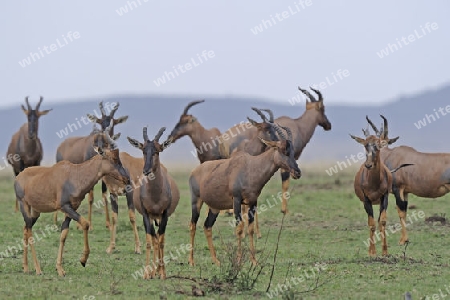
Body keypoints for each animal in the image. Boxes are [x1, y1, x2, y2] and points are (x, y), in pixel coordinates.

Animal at [14, 134, 128, 276]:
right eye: (112, 158)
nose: (127, 179)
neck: (74, 174)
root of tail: (18, 177)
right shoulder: (65, 207)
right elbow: (85, 223)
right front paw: (83, 260)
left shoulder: (72, 208)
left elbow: (64, 234)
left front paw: (60, 269)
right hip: (23, 204)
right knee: (29, 231)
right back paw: (38, 269)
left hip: (35, 211)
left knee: (25, 229)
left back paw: (25, 267)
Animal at [126, 126, 179, 278]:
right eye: (143, 150)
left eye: (157, 151)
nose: (146, 170)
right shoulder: (146, 214)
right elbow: (150, 241)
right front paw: (145, 273)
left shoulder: (165, 214)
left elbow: (161, 241)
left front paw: (163, 273)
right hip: (152, 217)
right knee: (154, 238)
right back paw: (152, 271)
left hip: (159, 217)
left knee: (159, 239)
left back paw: (158, 270)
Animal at [188, 125, 300, 266]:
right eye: (282, 149)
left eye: (293, 151)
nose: (297, 172)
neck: (250, 167)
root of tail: (194, 171)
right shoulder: (236, 201)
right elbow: (240, 228)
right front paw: (239, 259)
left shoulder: (252, 202)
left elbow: (250, 228)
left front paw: (254, 261)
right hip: (196, 201)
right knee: (192, 225)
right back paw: (191, 261)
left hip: (215, 207)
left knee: (207, 226)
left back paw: (216, 260)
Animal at [352, 116, 412, 256]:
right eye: (365, 145)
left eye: (378, 145)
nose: (368, 165)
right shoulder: (366, 200)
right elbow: (371, 224)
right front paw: (372, 252)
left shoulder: (384, 197)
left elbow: (383, 222)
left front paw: (385, 251)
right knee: (372, 222)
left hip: (379, 201)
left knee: (379, 221)